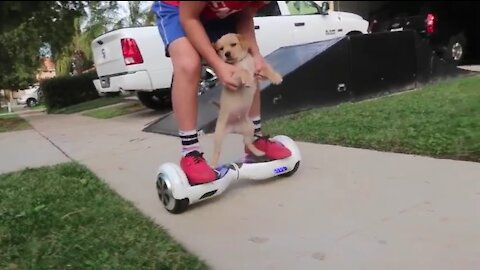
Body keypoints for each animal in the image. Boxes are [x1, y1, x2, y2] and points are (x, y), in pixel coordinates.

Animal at [209, 32, 282, 168]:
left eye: (233, 44)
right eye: (221, 49)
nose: (227, 54)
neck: (242, 61)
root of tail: (234, 128)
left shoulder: (257, 74)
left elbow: (265, 68)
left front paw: (276, 77)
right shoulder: (233, 79)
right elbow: (241, 71)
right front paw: (247, 80)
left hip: (249, 128)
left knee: (247, 142)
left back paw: (258, 152)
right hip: (218, 135)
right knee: (217, 151)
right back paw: (212, 165)